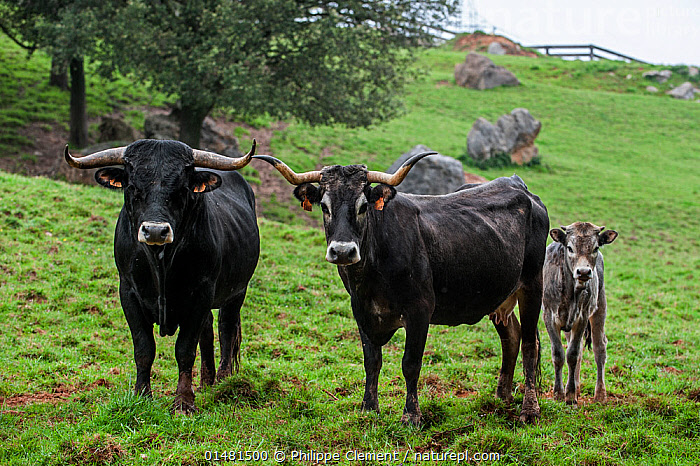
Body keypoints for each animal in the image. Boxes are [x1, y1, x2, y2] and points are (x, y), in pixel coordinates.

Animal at [65, 139, 260, 412]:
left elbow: (185, 350)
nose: (155, 231)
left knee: (226, 329)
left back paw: (222, 381)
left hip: (236, 292)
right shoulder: (128, 292)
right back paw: (207, 382)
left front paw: (184, 401)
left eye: (181, 189)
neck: (161, 261)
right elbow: (144, 348)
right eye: (133, 186)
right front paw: (142, 395)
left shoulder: (201, 293)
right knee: (208, 330)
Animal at [254, 154, 548, 426]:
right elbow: (371, 361)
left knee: (529, 344)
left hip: (533, 286)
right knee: (511, 336)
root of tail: (520, 186)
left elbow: (410, 364)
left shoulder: (419, 311)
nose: (343, 251)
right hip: (500, 295)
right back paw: (502, 396)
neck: (371, 273)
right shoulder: (361, 310)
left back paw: (529, 409)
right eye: (324, 207)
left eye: (363, 206)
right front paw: (369, 408)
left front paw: (411, 415)